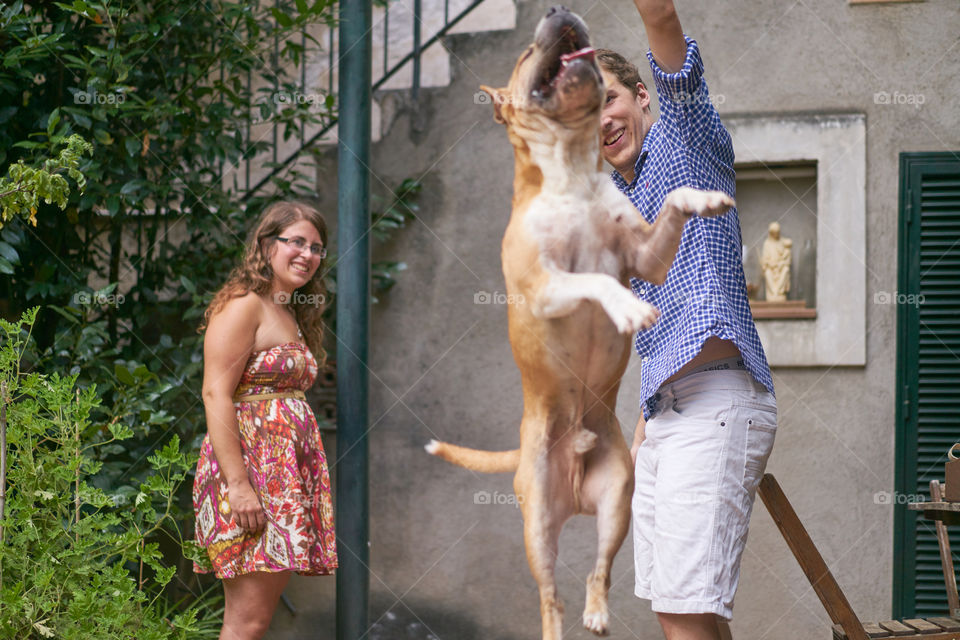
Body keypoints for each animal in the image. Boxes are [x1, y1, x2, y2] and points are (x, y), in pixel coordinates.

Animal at [424, 7, 732, 636]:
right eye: (524, 55)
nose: (556, 10)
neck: (572, 170)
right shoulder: (544, 287)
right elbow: (595, 282)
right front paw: (629, 307)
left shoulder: (646, 256)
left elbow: (674, 202)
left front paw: (703, 198)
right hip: (536, 526)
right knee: (549, 598)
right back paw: (559, 622)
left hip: (617, 502)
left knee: (598, 571)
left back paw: (597, 612)